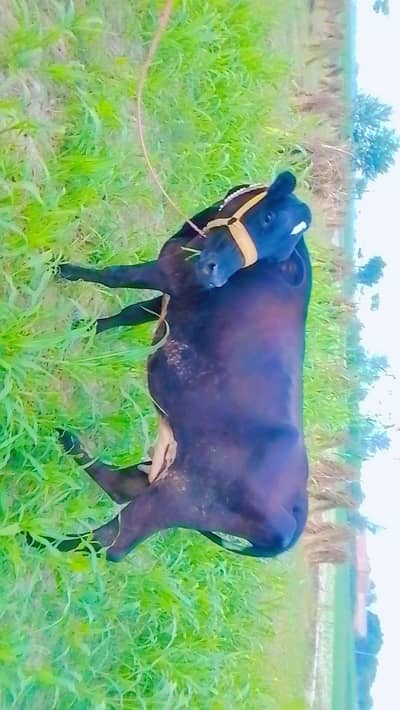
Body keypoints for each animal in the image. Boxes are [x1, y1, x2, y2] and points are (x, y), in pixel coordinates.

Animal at [28, 171, 312, 562]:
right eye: (270, 218)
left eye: (283, 245)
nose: (213, 275)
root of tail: (296, 512)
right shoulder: (172, 296)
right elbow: (129, 313)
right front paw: (83, 331)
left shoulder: (172, 271)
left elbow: (115, 276)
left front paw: (61, 269)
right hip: (169, 475)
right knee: (121, 486)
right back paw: (65, 440)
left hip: (181, 497)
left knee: (111, 542)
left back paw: (33, 538)